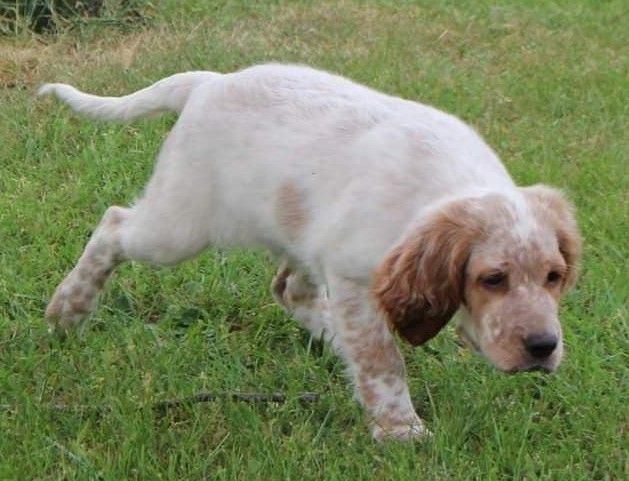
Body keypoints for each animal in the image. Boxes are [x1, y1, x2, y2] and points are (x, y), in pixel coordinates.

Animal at [38, 63, 580, 438]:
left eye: (554, 277)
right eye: (492, 279)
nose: (543, 347)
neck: (443, 189)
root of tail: (209, 82)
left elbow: (370, 345)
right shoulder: (352, 274)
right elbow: (382, 358)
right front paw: (401, 431)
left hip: (293, 233)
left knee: (290, 288)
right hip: (179, 225)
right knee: (113, 224)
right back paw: (69, 309)